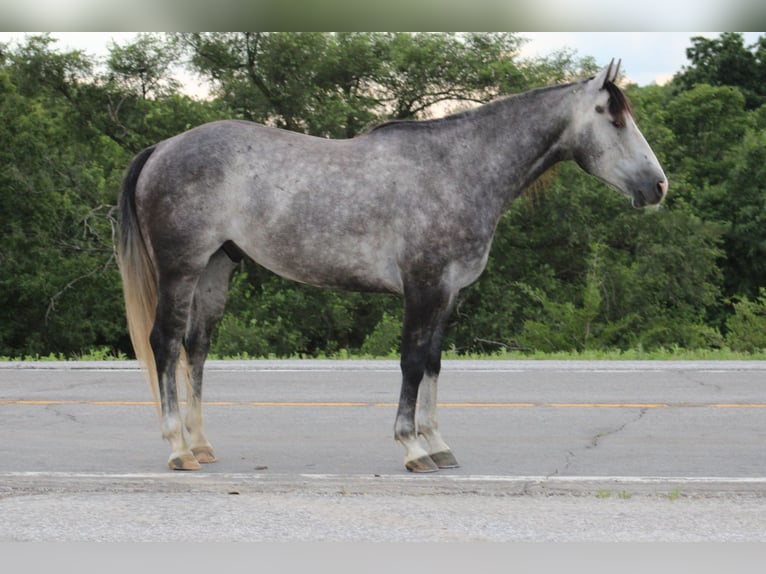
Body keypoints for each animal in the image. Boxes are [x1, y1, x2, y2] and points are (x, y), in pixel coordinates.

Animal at [118, 59, 667, 472]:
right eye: (614, 117)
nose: (658, 186)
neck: (456, 169)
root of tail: (162, 148)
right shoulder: (423, 288)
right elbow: (411, 362)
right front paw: (412, 447)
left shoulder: (448, 293)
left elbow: (434, 363)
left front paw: (439, 444)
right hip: (181, 268)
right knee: (165, 343)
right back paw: (178, 448)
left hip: (216, 268)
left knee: (196, 348)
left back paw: (202, 444)